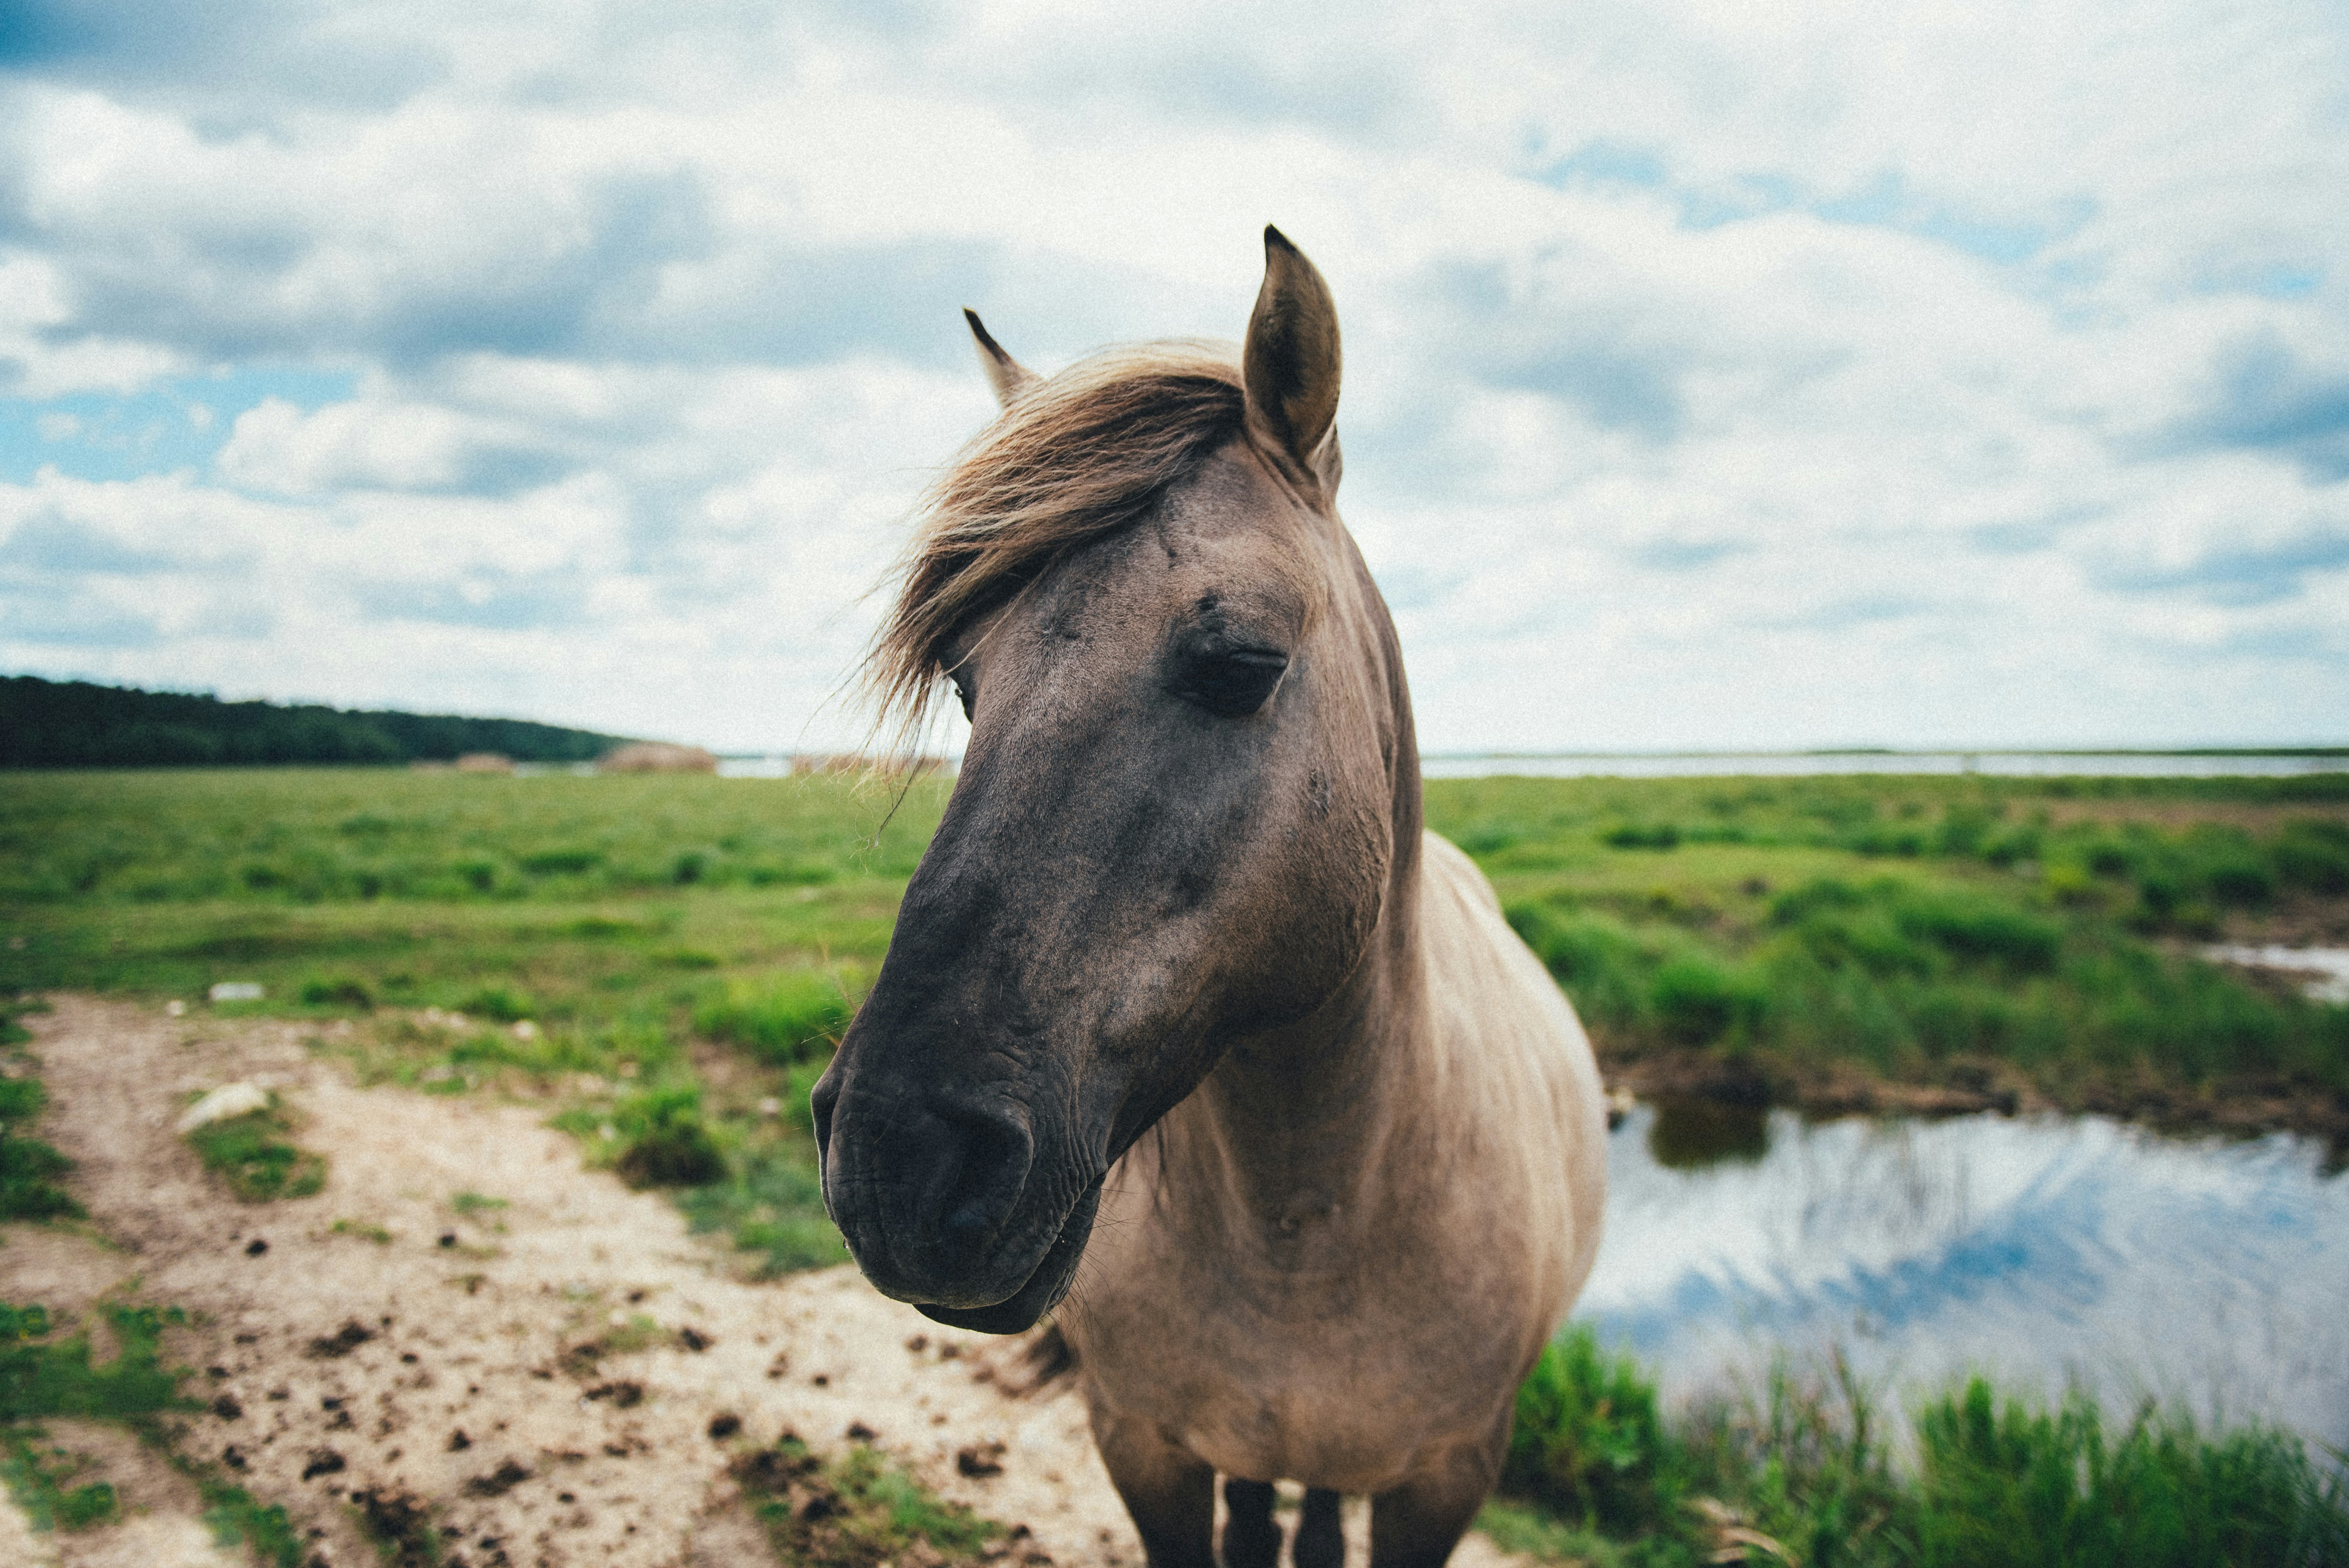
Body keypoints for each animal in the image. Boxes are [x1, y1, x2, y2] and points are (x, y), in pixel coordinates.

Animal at [812, 228, 1608, 1568]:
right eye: (968, 685)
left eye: (1240, 666)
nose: (897, 1163)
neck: (1311, 1218)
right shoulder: (1146, 1446)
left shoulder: (1443, 1479)